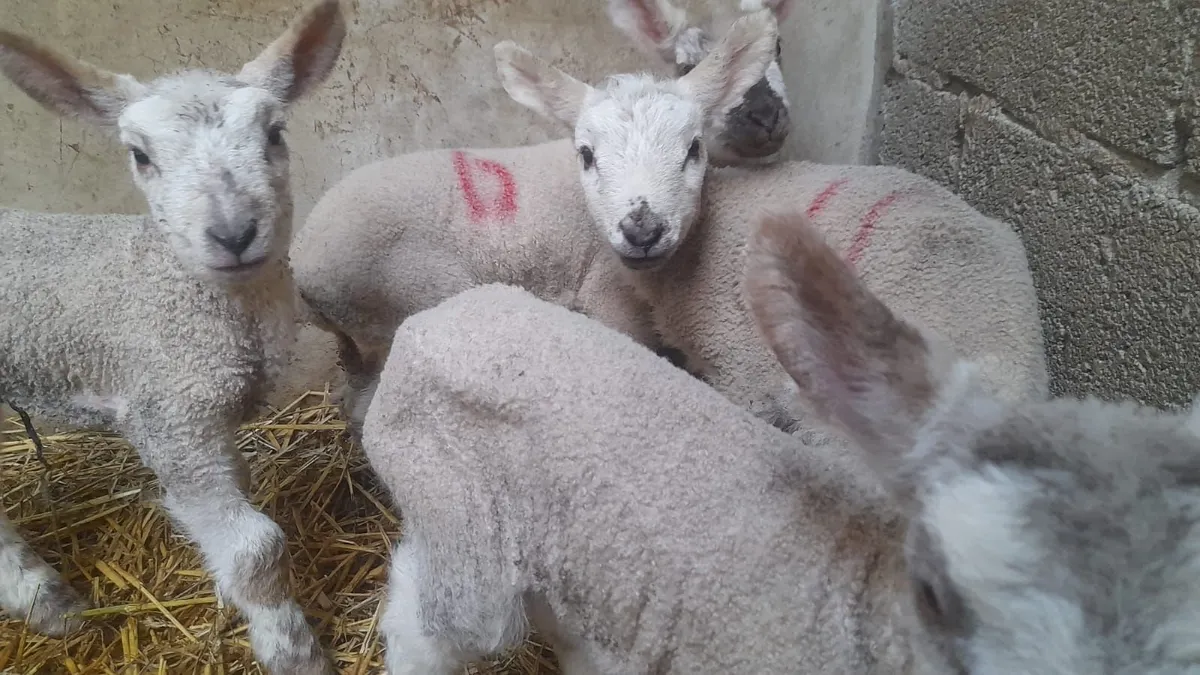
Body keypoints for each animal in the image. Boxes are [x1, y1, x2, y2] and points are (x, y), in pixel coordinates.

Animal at [0, 2, 345, 673]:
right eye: (139, 154)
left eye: (274, 134)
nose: (234, 233)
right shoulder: (167, 414)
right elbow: (257, 548)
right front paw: (292, 649)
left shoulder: (208, 417)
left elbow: (234, 495)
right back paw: (44, 598)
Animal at [290, 8, 784, 438]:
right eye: (587, 154)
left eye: (692, 148)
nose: (642, 230)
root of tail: (301, 264)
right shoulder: (605, 290)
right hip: (407, 297)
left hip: (355, 334)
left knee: (352, 394)